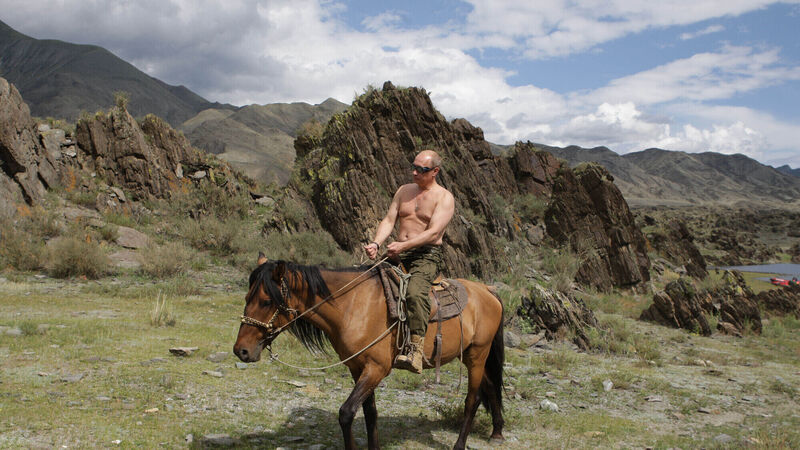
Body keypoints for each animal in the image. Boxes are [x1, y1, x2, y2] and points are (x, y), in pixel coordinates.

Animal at [233, 254, 505, 450]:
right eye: (247, 297)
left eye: (267, 301)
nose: (241, 351)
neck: (352, 306)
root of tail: (487, 290)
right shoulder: (358, 368)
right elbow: (370, 413)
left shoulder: (377, 369)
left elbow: (346, 413)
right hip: (470, 354)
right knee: (491, 386)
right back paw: (497, 431)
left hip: (477, 354)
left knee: (473, 399)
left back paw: (460, 444)